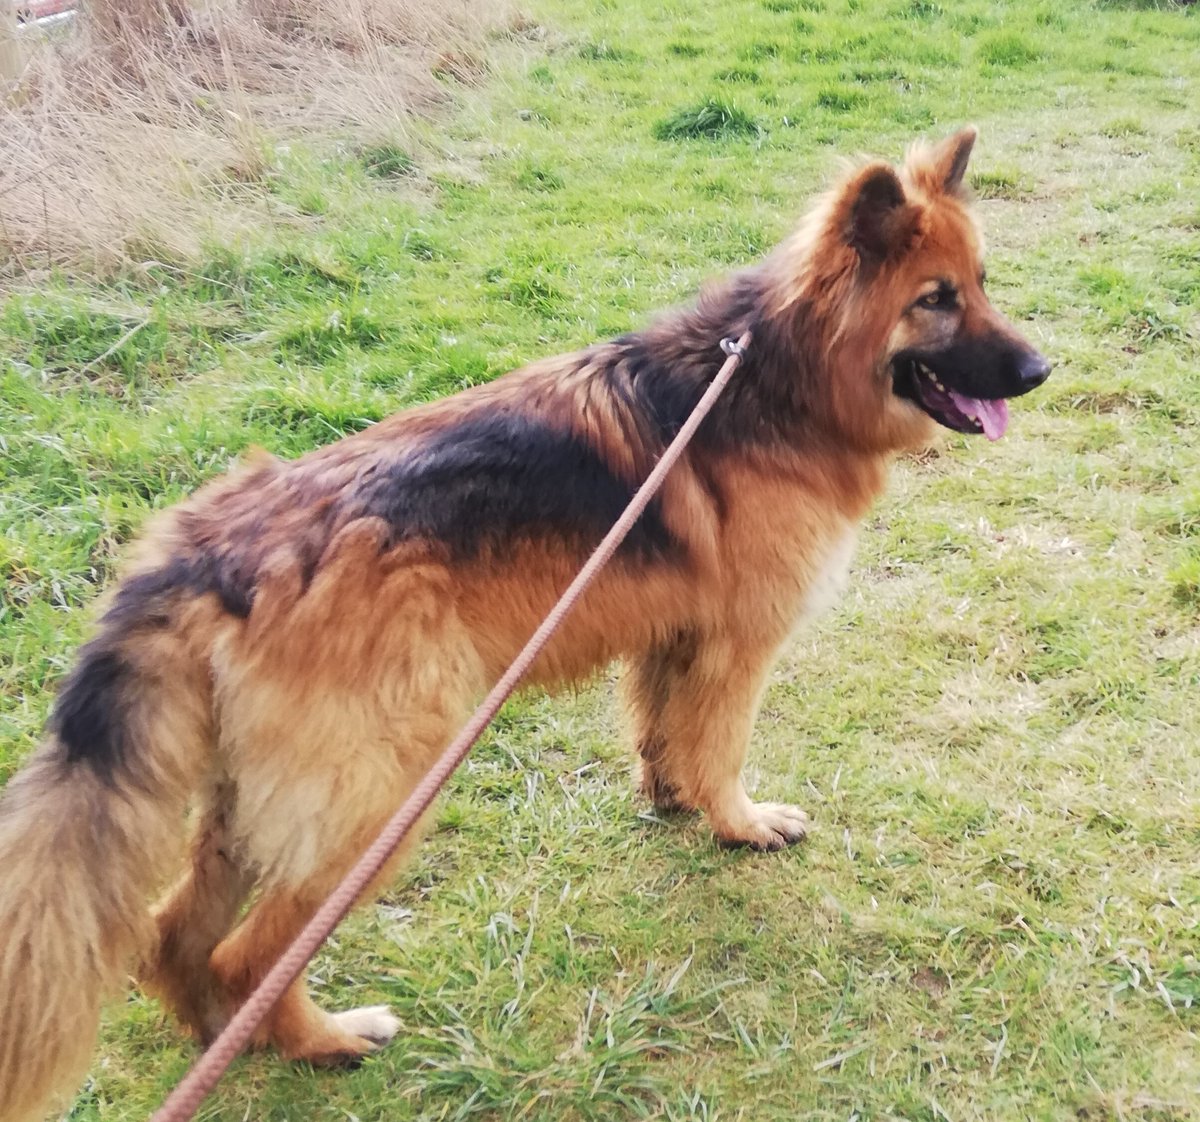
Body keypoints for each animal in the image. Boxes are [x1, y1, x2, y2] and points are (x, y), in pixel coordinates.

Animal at [0, 127, 1051, 1118]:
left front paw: (670, 802)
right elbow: (719, 749)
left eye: (982, 285)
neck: (781, 380)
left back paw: (230, 1039)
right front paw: (740, 825)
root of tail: (204, 551)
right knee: (248, 953)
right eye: (936, 299)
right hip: (381, 796)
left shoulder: (674, 637)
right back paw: (324, 1039)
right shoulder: (738, 648)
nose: (1042, 369)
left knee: (176, 938)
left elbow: (663, 734)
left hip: (256, 807)